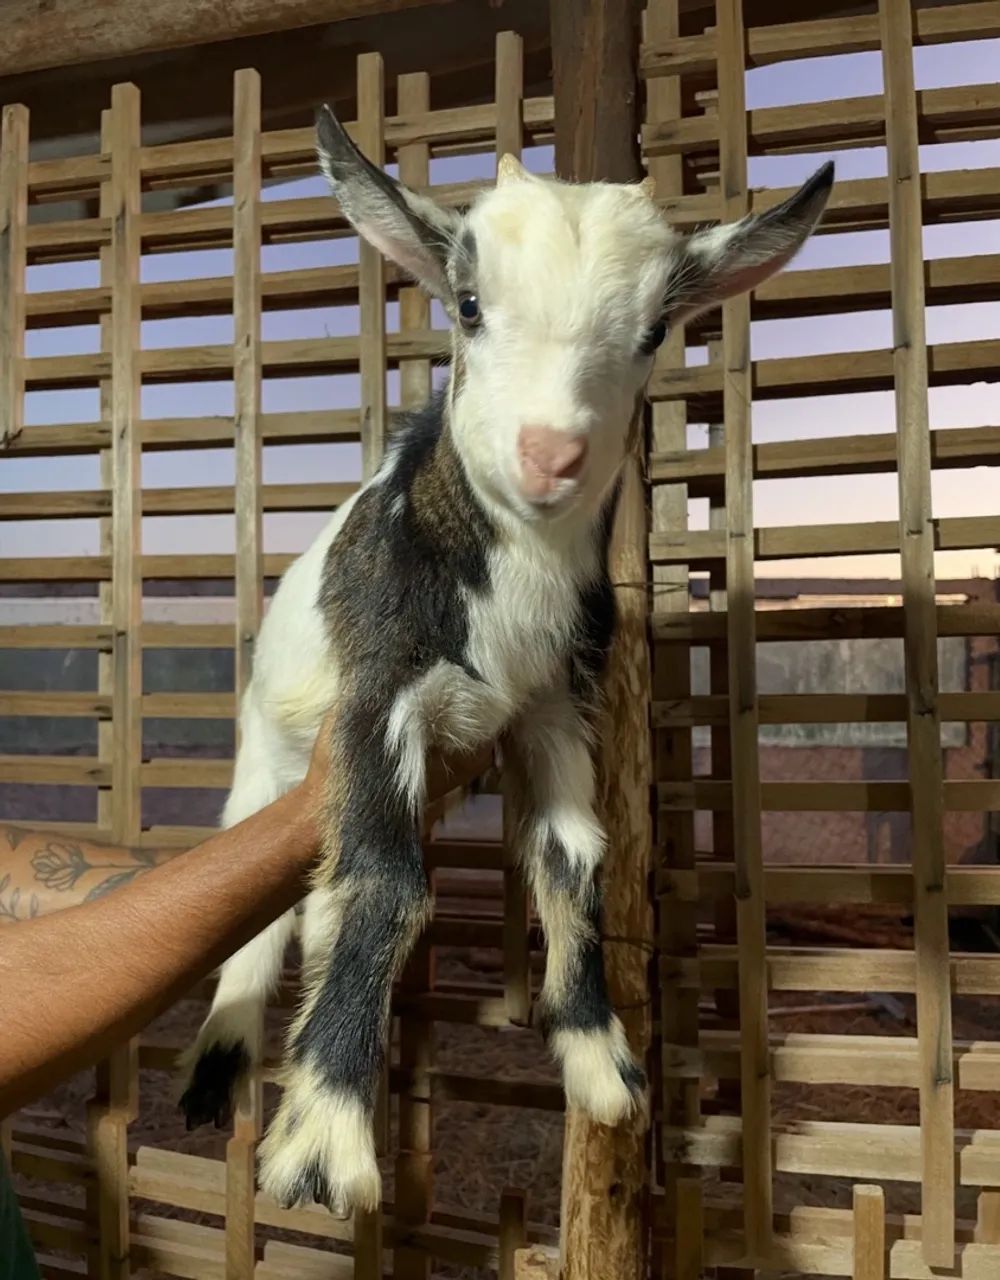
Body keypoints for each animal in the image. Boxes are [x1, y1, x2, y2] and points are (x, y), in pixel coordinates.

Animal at [177, 107, 834, 1217]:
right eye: (469, 303)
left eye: (656, 329)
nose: (548, 455)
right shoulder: (377, 695)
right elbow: (389, 882)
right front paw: (322, 1140)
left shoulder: (553, 707)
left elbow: (572, 856)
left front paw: (601, 1061)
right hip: (263, 765)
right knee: (257, 927)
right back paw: (216, 1067)